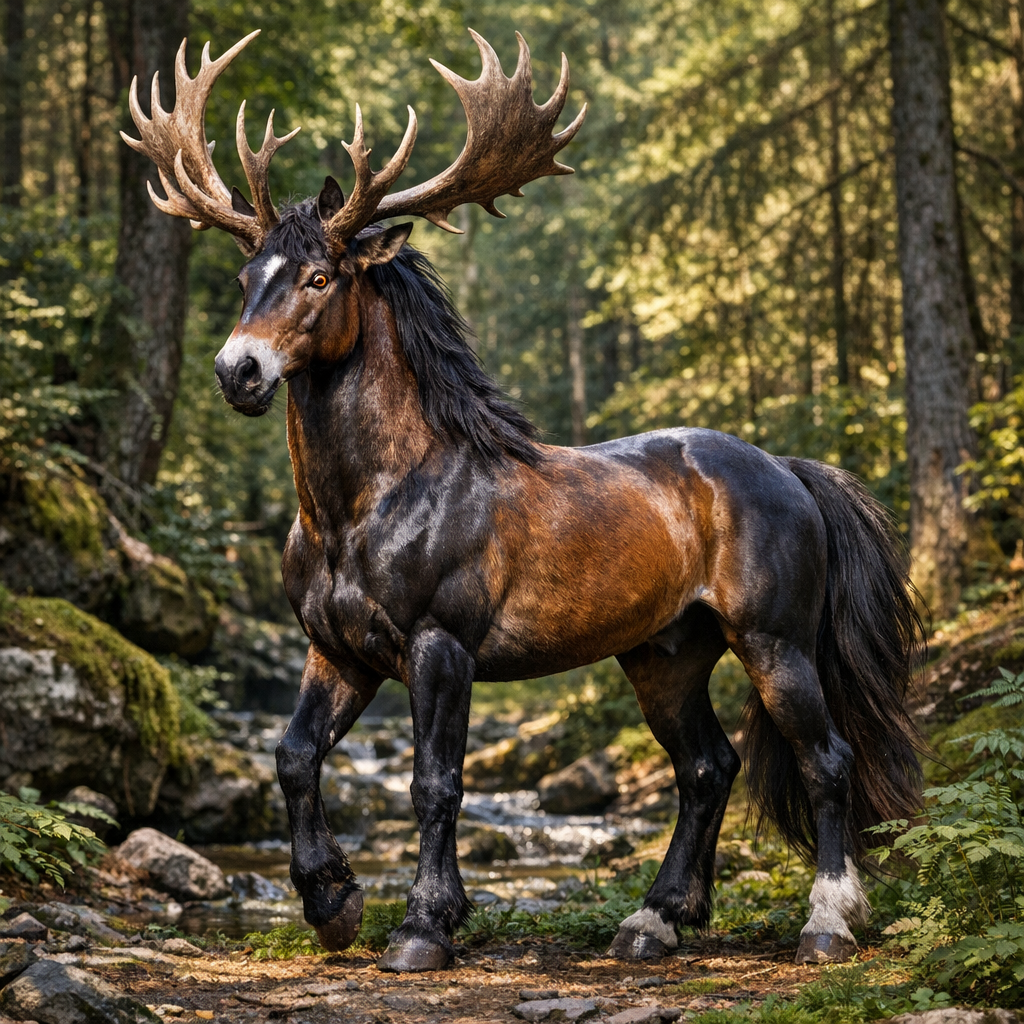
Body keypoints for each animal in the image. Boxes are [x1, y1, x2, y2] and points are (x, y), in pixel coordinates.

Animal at [123, 29, 924, 972]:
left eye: (320, 277)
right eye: (250, 273)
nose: (237, 372)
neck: (363, 506)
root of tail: (791, 471)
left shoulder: (442, 646)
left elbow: (435, 782)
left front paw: (424, 925)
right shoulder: (338, 651)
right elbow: (292, 757)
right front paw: (333, 901)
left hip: (776, 641)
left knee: (825, 758)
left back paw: (826, 921)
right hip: (665, 654)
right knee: (707, 768)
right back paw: (655, 919)